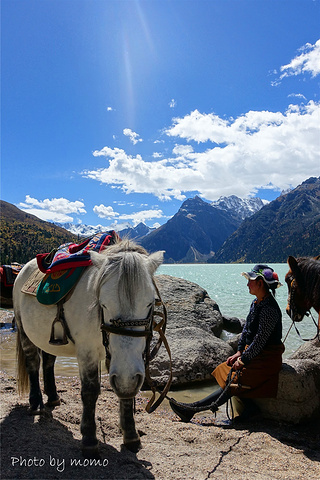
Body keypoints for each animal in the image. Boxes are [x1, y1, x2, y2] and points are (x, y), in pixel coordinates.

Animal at [12, 240, 164, 458]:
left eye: (150, 303)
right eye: (104, 304)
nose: (126, 378)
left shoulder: (120, 362)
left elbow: (126, 394)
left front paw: (131, 436)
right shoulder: (87, 353)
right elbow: (90, 392)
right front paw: (90, 440)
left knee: (48, 362)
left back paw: (53, 397)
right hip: (24, 330)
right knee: (33, 363)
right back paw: (35, 404)